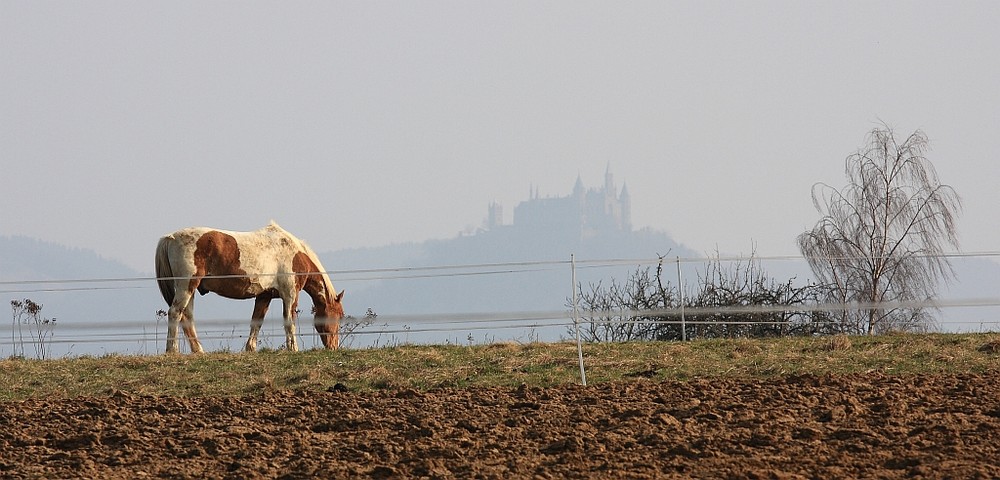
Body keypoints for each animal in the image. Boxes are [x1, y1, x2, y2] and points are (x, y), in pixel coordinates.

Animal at [154, 223, 344, 354]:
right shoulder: (290, 294)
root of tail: (169, 238)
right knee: (175, 313)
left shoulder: (264, 296)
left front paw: (250, 348)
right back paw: (172, 350)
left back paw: (198, 350)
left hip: (191, 289)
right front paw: (293, 349)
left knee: (187, 317)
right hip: (186, 285)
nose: (333, 347)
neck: (296, 255)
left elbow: (256, 322)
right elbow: (289, 322)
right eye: (339, 316)